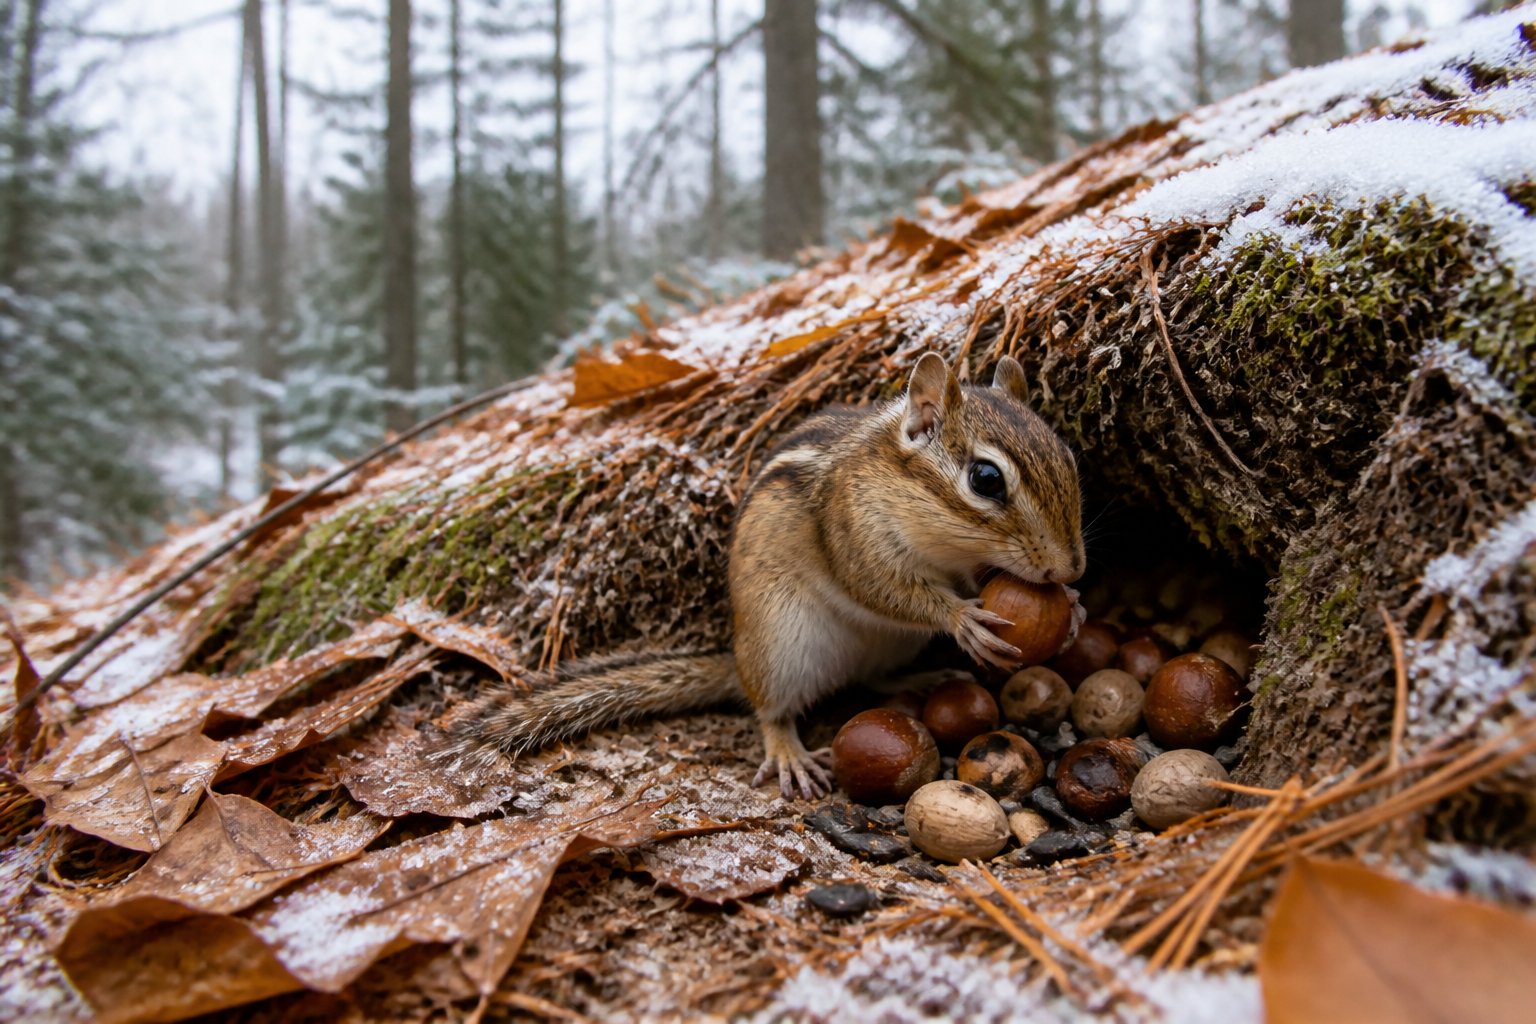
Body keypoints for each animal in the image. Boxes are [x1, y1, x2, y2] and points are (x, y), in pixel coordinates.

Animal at [435, 353, 1085, 798]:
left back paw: (922, 679)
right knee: (771, 710)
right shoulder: (854, 535)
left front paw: (1073, 607)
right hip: (781, 645)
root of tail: (740, 660)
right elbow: (883, 588)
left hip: (879, 648)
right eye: (985, 479)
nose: (1071, 566)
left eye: (1069, 456)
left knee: (873, 678)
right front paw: (961, 617)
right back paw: (790, 751)